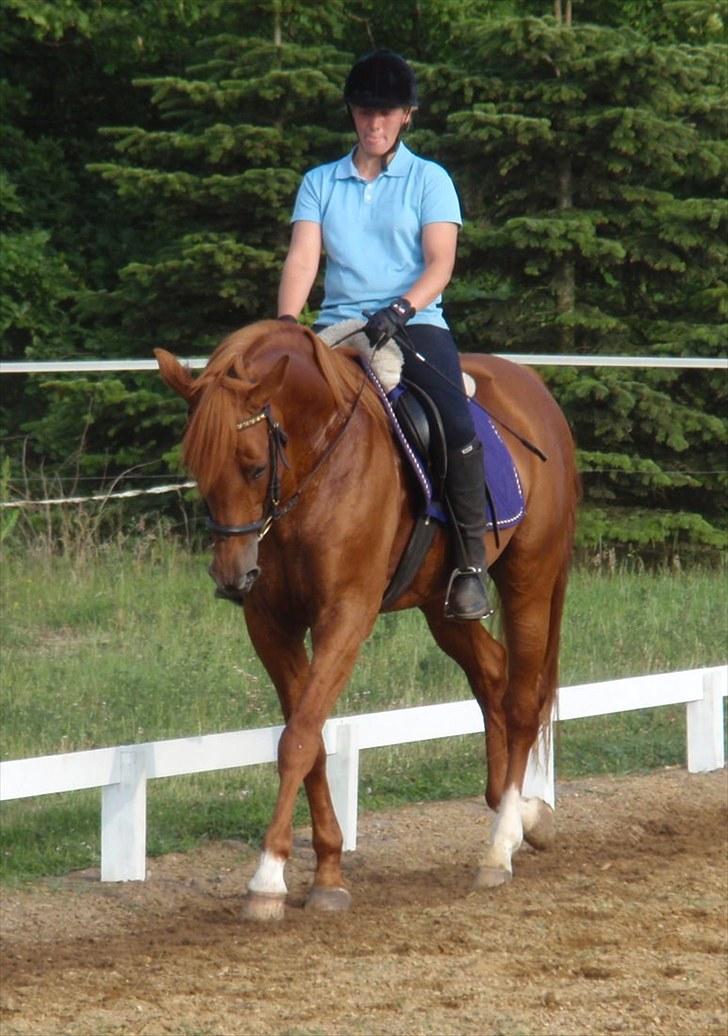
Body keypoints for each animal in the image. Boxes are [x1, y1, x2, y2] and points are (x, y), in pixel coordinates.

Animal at [156, 319, 579, 919]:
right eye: (196, 469)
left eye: (254, 466)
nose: (232, 577)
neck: (316, 466)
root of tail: (534, 387)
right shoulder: (270, 625)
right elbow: (308, 737)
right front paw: (328, 871)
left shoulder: (346, 616)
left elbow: (297, 739)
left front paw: (267, 879)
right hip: (442, 603)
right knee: (492, 675)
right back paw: (520, 814)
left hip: (531, 577)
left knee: (522, 701)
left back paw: (499, 849)